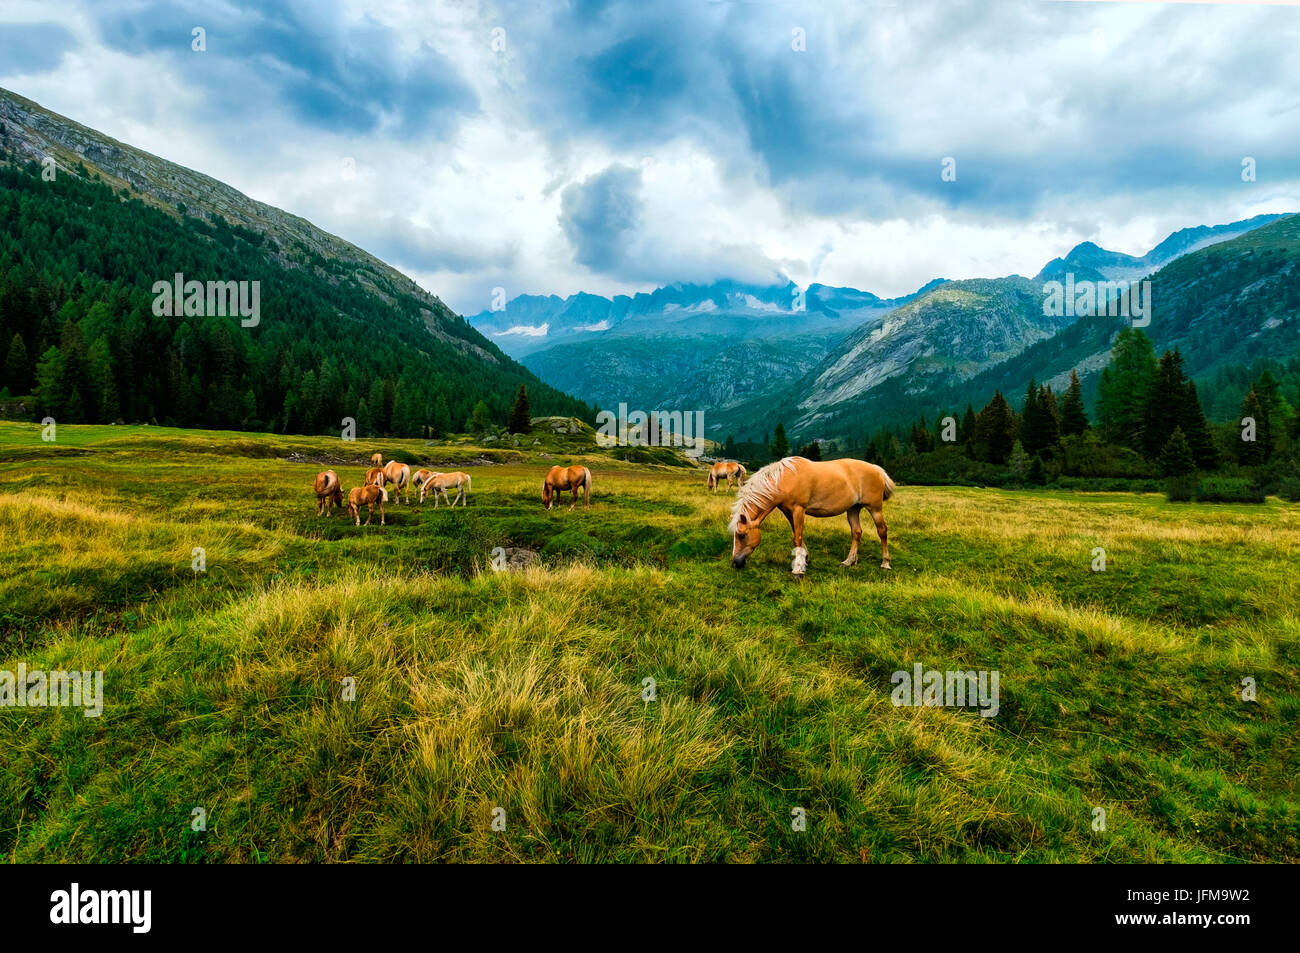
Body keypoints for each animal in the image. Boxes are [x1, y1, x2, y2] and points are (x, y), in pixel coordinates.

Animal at [728, 452, 899, 572]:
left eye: (741, 535)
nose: (735, 563)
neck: (784, 479)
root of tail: (876, 469)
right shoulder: (788, 511)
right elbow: (797, 535)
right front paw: (805, 557)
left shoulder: (799, 510)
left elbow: (797, 538)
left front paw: (798, 568)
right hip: (853, 509)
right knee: (856, 532)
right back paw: (849, 561)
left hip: (875, 509)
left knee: (882, 531)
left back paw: (885, 563)